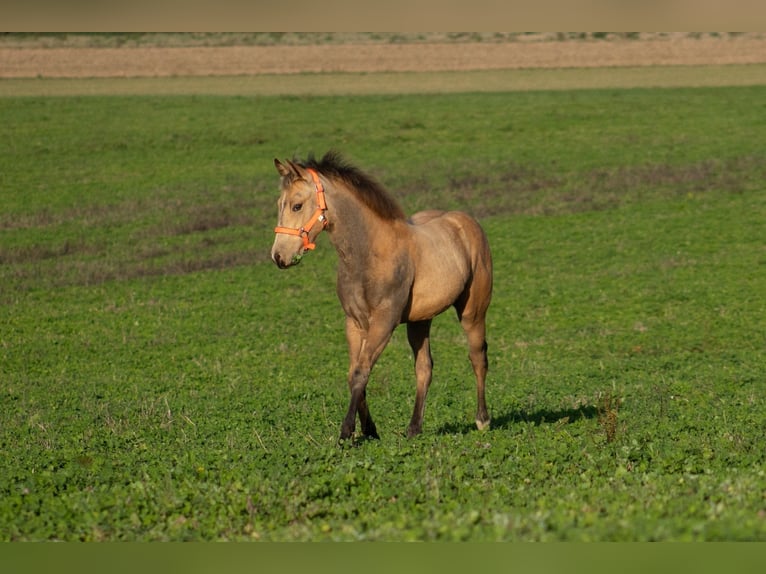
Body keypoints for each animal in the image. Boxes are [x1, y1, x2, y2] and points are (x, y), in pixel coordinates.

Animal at [272, 152, 496, 440]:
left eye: (297, 206)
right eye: (280, 204)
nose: (279, 257)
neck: (369, 254)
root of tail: (466, 221)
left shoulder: (384, 323)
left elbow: (361, 371)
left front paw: (346, 433)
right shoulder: (355, 323)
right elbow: (354, 374)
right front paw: (370, 430)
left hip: (472, 312)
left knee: (478, 357)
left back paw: (482, 419)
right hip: (420, 321)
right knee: (424, 367)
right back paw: (413, 428)